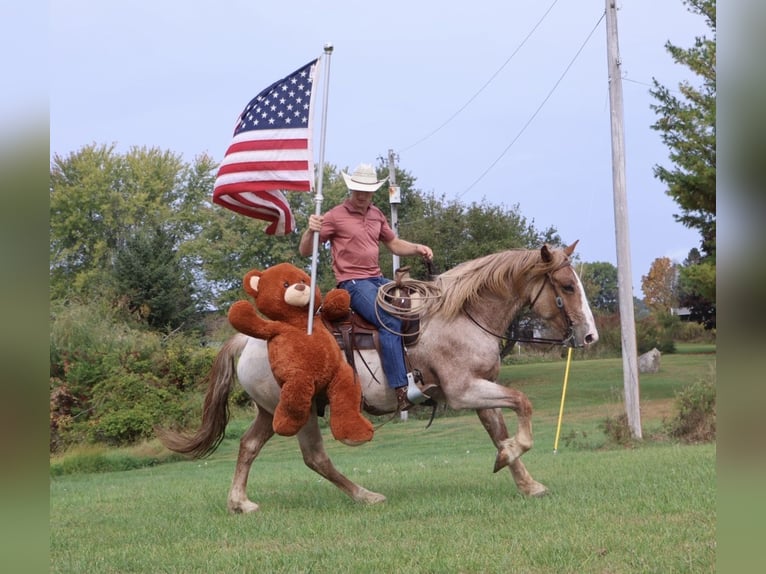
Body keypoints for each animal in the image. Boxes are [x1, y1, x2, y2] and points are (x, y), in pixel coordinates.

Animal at [159, 242, 598, 513]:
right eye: (566, 286)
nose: (591, 336)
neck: (461, 315)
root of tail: (250, 339)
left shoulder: (481, 388)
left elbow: (499, 429)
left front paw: (523, 478)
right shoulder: (464, 391)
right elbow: (523, 402)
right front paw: (513, 453)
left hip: (270, 411)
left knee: (249, 446)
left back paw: (240, 503)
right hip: (301, 409)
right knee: (315, 457)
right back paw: (366, 496)